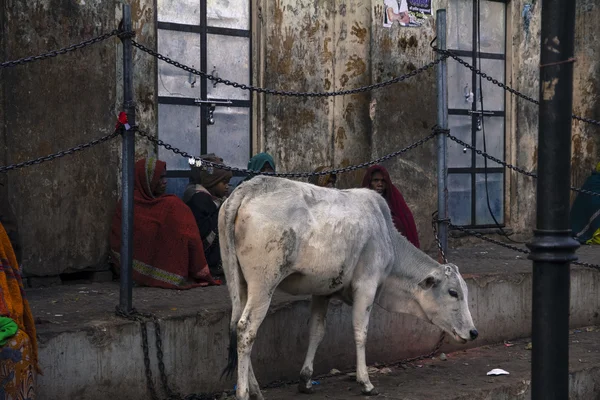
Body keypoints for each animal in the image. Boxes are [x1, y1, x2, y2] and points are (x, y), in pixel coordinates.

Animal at [218, 177, 476, 398]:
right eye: (453, 292)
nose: (473, 332)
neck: (388, 238)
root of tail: (249, 188)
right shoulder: (367, 285)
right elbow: (361, 332)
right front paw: (366, 382)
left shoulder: (321, 292)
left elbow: (317, 331)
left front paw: (306, 380)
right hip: (264, 283)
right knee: (246, 329)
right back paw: (244, 393)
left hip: (239, 283)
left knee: (239, 326)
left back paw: (255, 390)